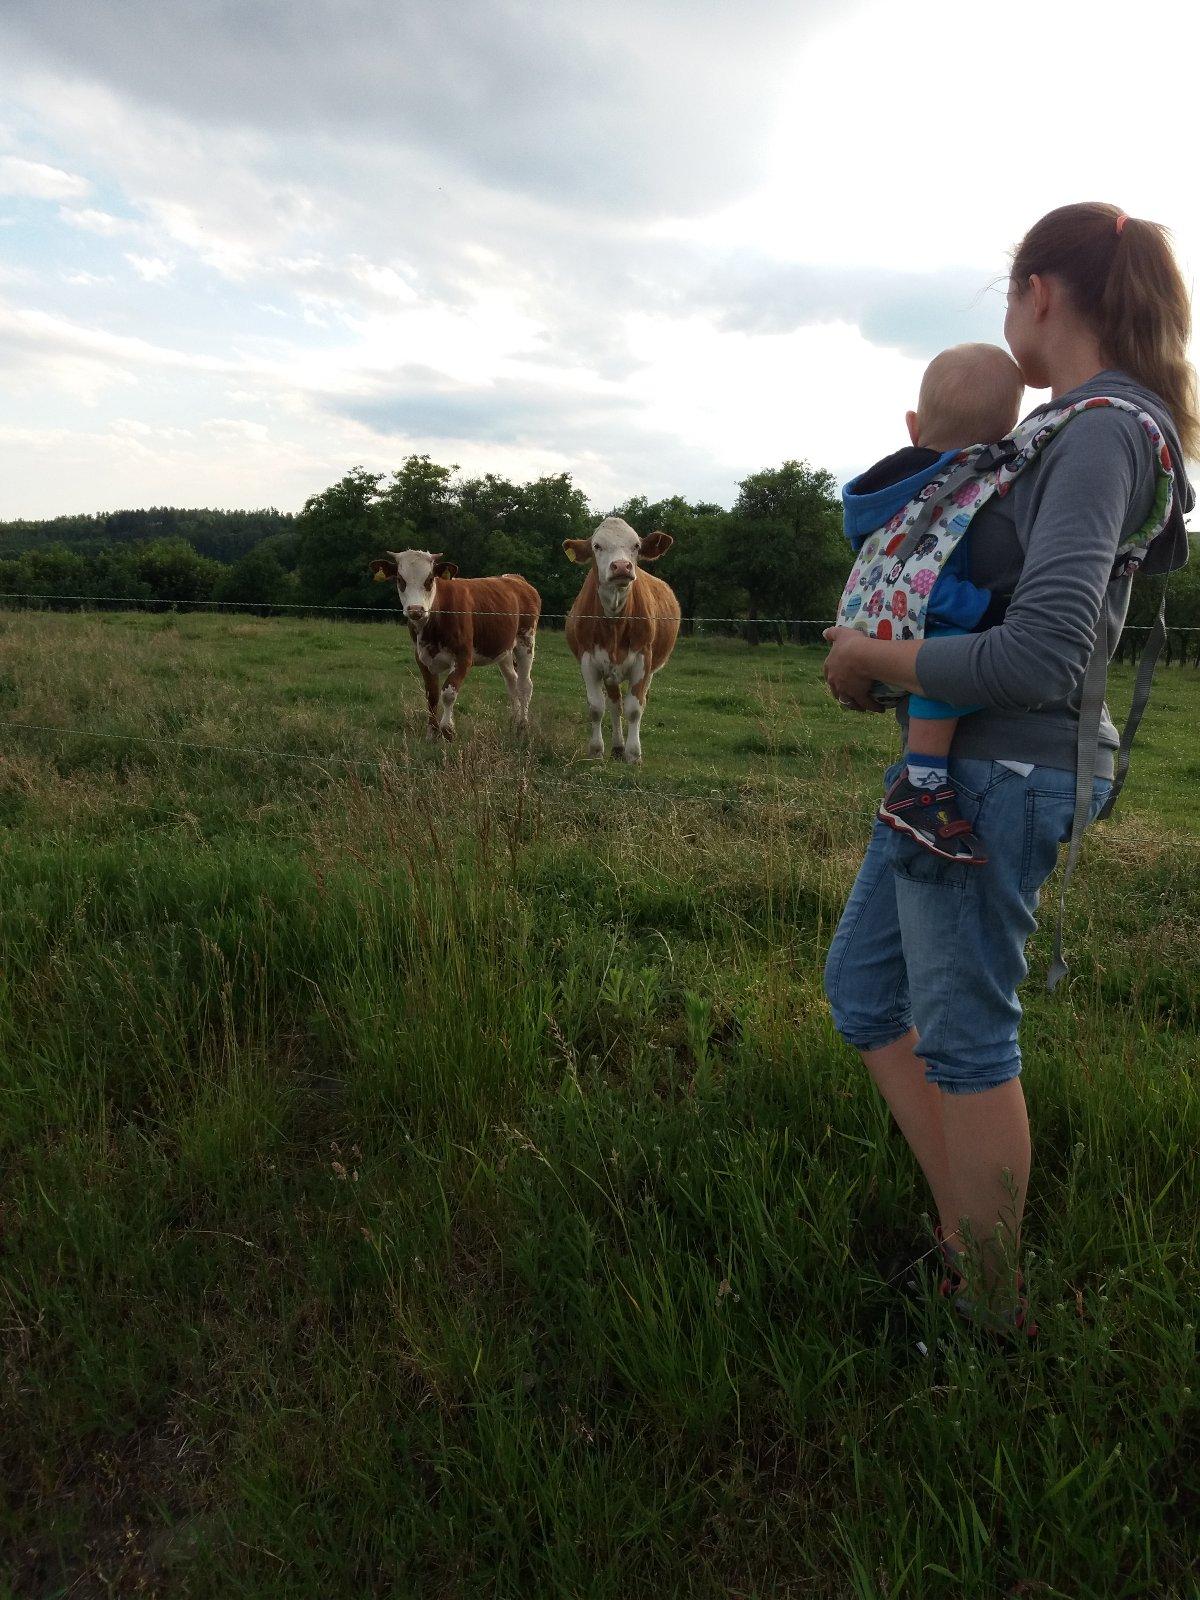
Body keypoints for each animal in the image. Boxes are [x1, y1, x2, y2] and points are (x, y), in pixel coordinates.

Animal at [369, 549, 540, 740]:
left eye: (430, 579)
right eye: (400, 579)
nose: (416, 610)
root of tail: (515, 578)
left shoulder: (463, 657)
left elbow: (448, 693)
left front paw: (447, 730)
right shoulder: (422, 658)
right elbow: (432, 695)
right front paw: (431, 733)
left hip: (526, 640)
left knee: (525, 684)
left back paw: (523, 725)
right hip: (504, 649)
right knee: (512, 681)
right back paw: (514, 722)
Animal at [562, 516, 680, 763]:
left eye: (636, 545)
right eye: (597, 546)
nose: (622, 567)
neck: (614, 620)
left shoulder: (643, 661)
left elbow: (635, 708)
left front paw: (634, 754)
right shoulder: (589, 661)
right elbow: (596, 707)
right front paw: (596, 751)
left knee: (638, 702)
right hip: (610, 672)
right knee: (615, 704)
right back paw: (617, 747)